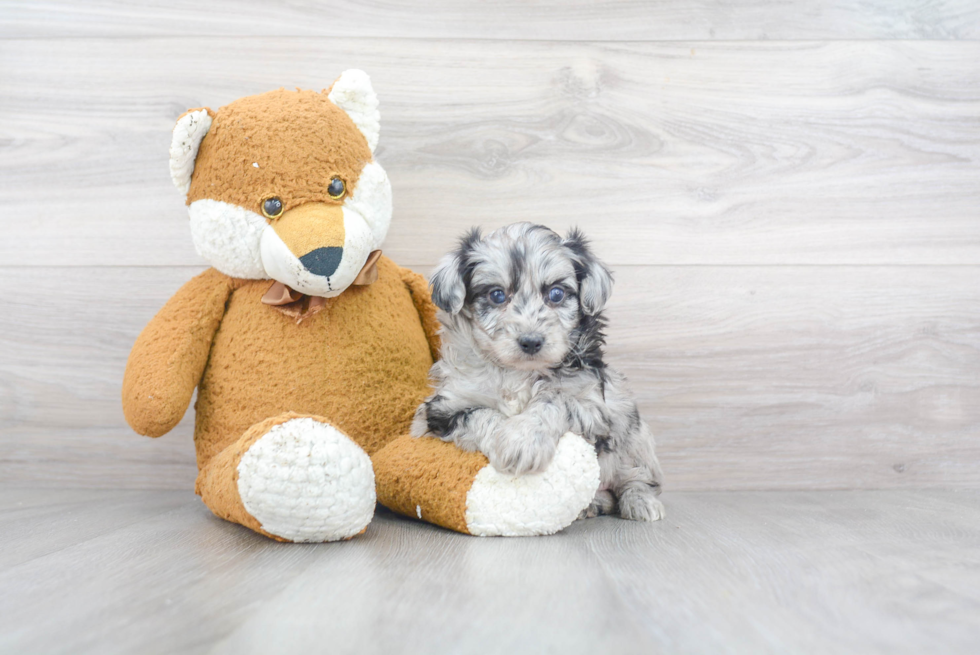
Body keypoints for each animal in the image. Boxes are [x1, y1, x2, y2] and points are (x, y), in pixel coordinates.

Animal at [410, 224, 668, 524]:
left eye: (556, 294)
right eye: (497, 295)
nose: (531, 342)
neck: (517, 373)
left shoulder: (591, 402)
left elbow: (554, 398)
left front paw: (522, 439)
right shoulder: (442, 408)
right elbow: (482, 414)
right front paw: (510, 441)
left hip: (634, 435)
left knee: (635, 478)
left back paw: (641, 503)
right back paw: (592, 505)